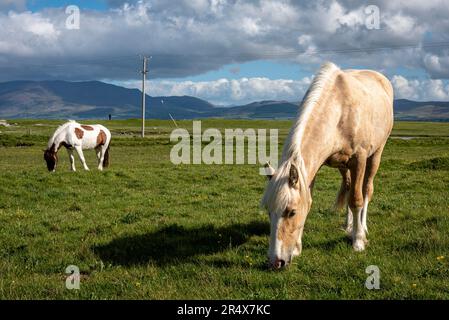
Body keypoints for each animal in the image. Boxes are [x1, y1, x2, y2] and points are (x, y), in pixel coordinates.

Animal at [260, 62, 394, 268]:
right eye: (268, 211)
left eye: (291, 212)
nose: (276, 262)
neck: (339, 110)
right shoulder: (312, 170)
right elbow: (311, 199)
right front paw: (297, 248)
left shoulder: (359, 159)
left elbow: (356, 200)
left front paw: (358, 242)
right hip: (343, 166)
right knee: (348, 186)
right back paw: (349, 226)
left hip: (375, 155)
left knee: (366, 190)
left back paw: (361, 228)